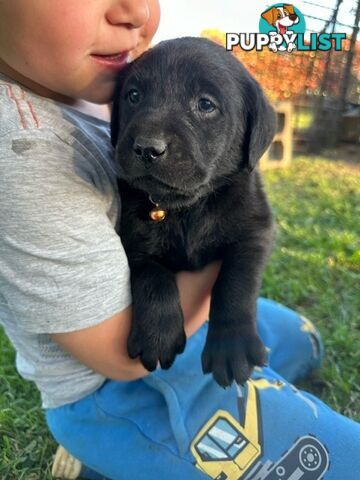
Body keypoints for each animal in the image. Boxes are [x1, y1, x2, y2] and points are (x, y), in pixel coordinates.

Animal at [112, 37, 276, 388]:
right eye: (134, 96)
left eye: (205, 104)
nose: (147, 148)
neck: (187, 208)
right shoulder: (131, 240)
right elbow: (152, 276)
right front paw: (157, 336)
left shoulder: (256, 230)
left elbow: (235, 281)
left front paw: (232, 345)